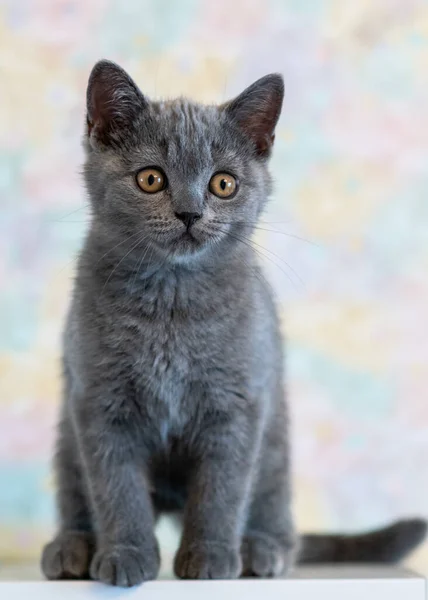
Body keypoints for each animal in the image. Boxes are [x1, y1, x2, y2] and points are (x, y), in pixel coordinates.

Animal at [41, 59, 424, 584]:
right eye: (151, 179)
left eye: (223, 184)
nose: (189, 212)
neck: (172, 304)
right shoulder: (99, 403)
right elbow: (117, 489)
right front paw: (126, 555)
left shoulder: (237, 405)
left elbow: (221, 490)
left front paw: (210, 557)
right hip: (65, 436)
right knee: (77, 493)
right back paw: (71, 548)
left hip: (276, 438)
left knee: (278, 515)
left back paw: (261, 549)